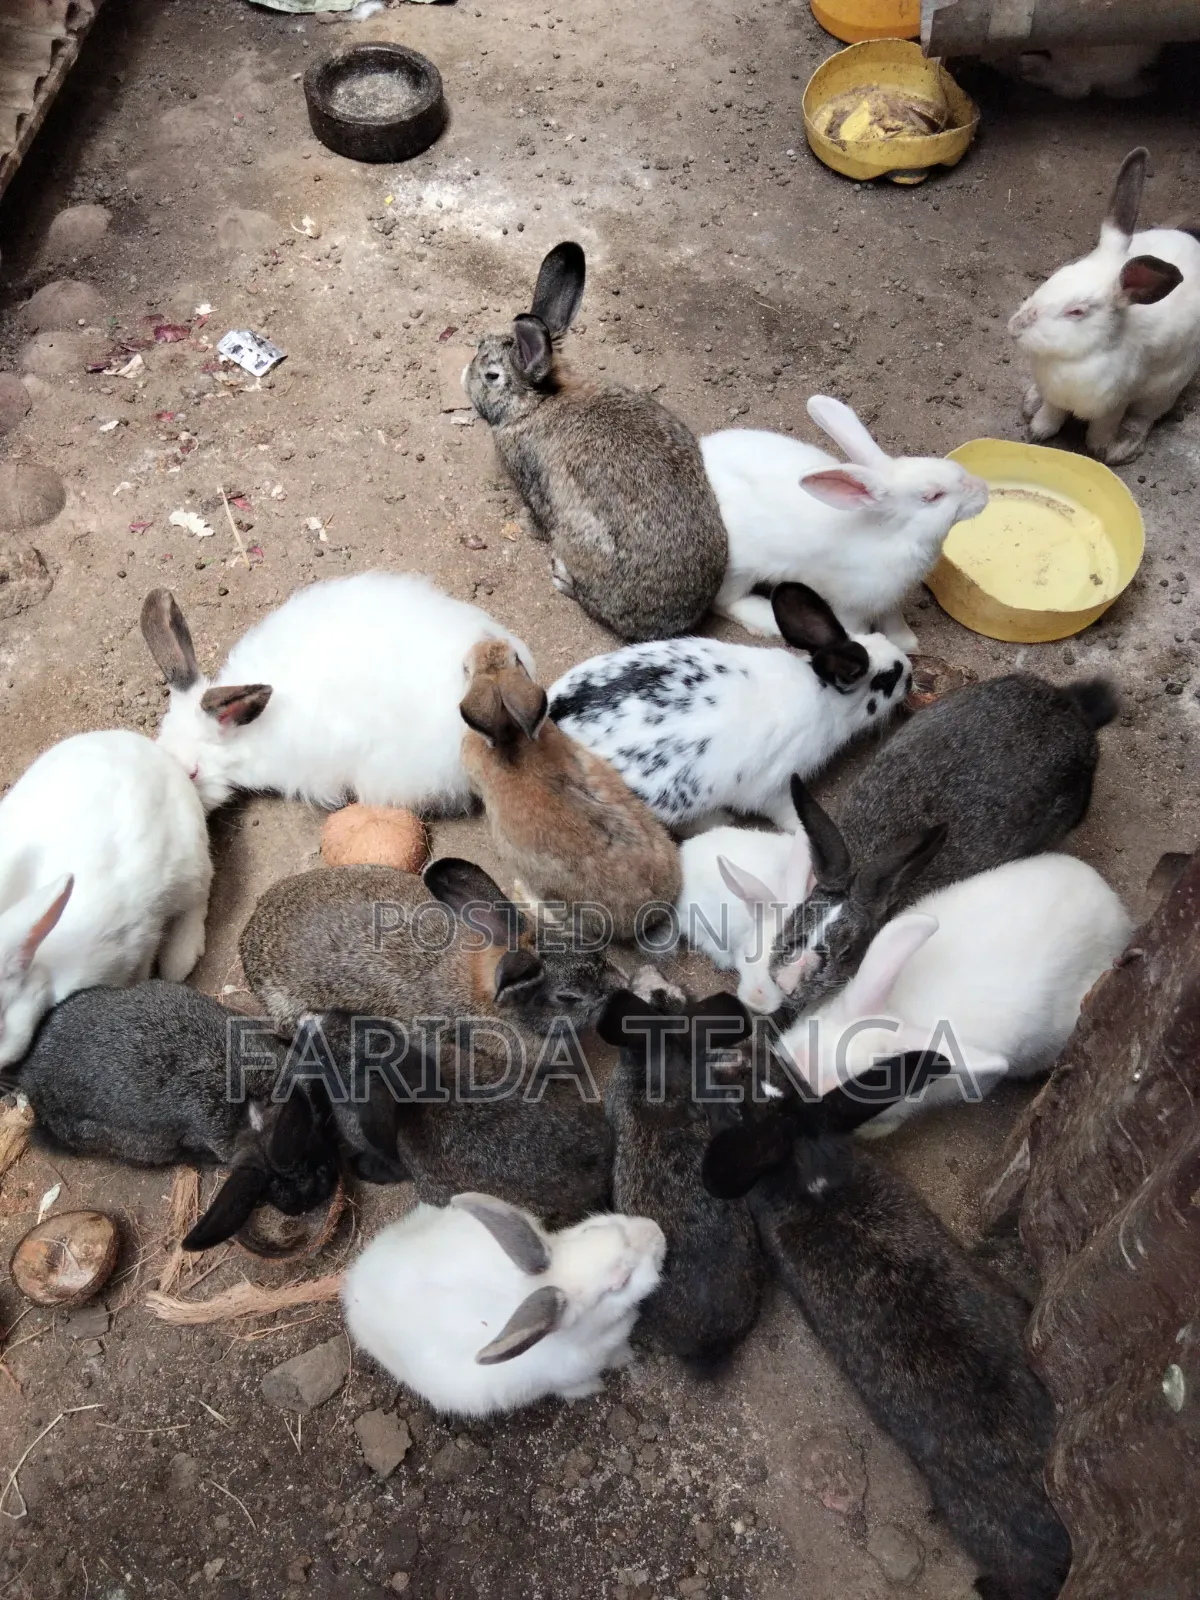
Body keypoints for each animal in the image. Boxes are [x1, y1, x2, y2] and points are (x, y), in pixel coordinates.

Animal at [341, 1191, 666, 1417]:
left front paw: (625, 1356)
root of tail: (355, 1283)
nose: (656, 1231)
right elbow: (578, 1386)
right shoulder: (565, 1379)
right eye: (620, 1282)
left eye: (593, 1230)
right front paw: (596, 1386)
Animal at [701, 395, 989, 651]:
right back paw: (764, 620)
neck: (894, 535)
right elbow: (856, 629)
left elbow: (893, 620)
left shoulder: (889, 600)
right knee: (725, 602)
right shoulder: (851, 606)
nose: (984, 490)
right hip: (739, 568)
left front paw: (908, 643)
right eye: (933, 496)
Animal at [1009, 146, 1200, 464]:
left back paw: (1124, 447)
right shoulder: (1055, 397)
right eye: (1055, 276)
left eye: (1076, 311)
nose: (1014, 328)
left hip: (1166, 388)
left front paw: (1100, 450)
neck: (1071, 359)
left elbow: (1102, 429)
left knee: (1144, 418)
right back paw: (1031, 400)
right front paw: (1037, 430)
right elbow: (1051, 413)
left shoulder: (1114, 405)